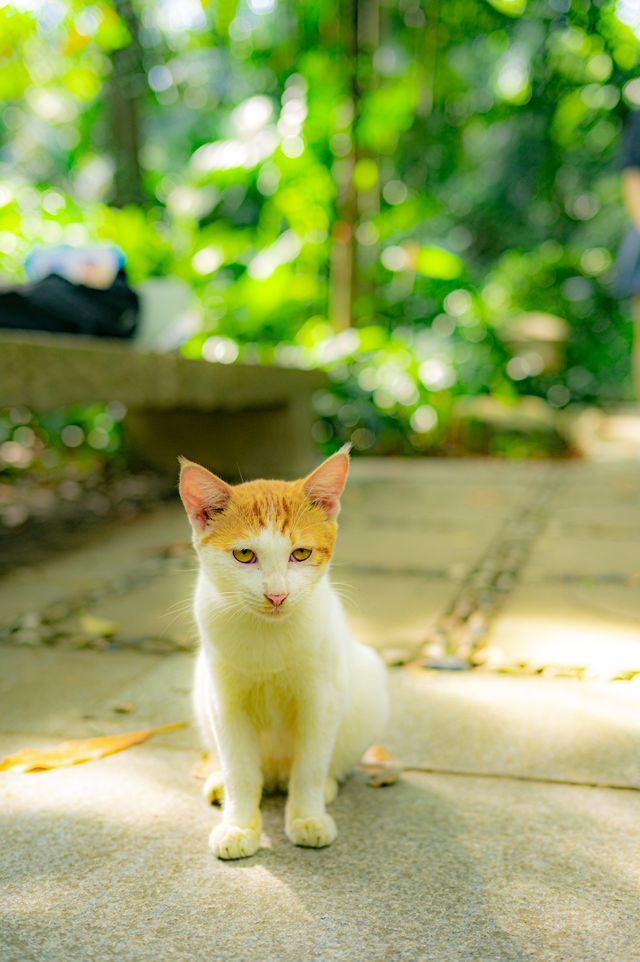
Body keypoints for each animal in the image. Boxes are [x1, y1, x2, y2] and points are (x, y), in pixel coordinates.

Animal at [180, 446, 390, 860]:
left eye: (301, 553)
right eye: (245, 554)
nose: (276, 595)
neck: (268, 640)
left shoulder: (321, 699)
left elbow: (309, 766)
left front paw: (308, 816)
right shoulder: (224, 701)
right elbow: (240, 771)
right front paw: (237, 824)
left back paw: (324, 787)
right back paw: (220, 783)